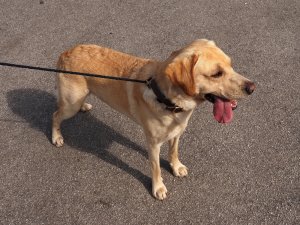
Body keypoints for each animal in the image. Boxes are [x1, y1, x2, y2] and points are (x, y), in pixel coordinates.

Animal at [52, 39, 255, 200]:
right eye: (217, 74)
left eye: (231, 65)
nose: (252, 87)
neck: (168, 100)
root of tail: (65, 52)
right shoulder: (153, 143)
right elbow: (155, 167)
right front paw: (158, 188)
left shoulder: (176, 133)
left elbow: (173, 152)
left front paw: (176, 167)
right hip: (69, 106)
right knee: (56, 114)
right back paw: (56, 137)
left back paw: (84, 106)